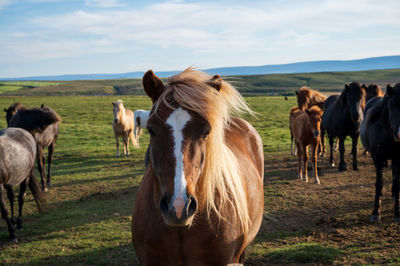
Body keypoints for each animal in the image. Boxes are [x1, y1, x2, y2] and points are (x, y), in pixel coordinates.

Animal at [0, 108, 58, 243]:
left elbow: (4, 210)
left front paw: (12, 235)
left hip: (25, 176)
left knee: (20, 198)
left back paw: (19, 223)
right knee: (11, 197)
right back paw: (13, 220)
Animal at [360, 84, 400, 221]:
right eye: (391, 104)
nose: (399, 134)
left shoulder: (398, 158)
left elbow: (397, 183)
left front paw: (397, 213)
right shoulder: (378, 157)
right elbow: (379, 183)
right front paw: (376, 212)